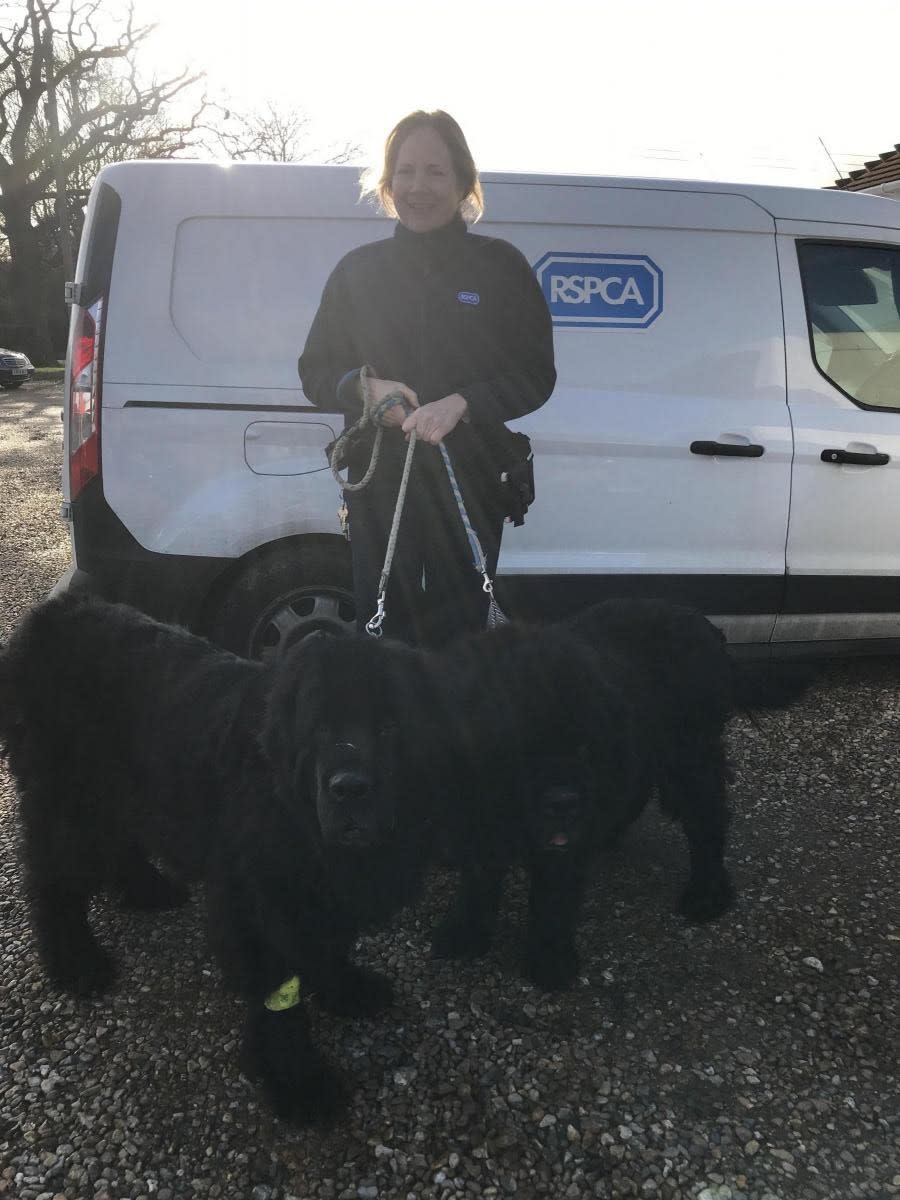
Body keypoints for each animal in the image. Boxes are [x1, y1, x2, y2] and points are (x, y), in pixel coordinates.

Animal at [0, 595, 441, 1128]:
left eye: (390, 727)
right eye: (320, 728)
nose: (349, 788)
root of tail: (47, 618)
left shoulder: (319, 895)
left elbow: (328, 947)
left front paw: (346, 988)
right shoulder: (259, 903)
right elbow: (279, 1004)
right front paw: (299, 1083)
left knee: (118, 845)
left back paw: (147, 890)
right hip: (71, 801)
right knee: (54, 880)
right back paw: (76, 962)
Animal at [434, 600, 739, 993]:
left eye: (583, 747)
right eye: (521, 746)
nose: (564, 801)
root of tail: (708, 628)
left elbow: (554, 896)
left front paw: (550, 963)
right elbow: (477, 881)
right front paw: (465, 934)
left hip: (689, 758)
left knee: (707, 819)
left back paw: (706, 894)